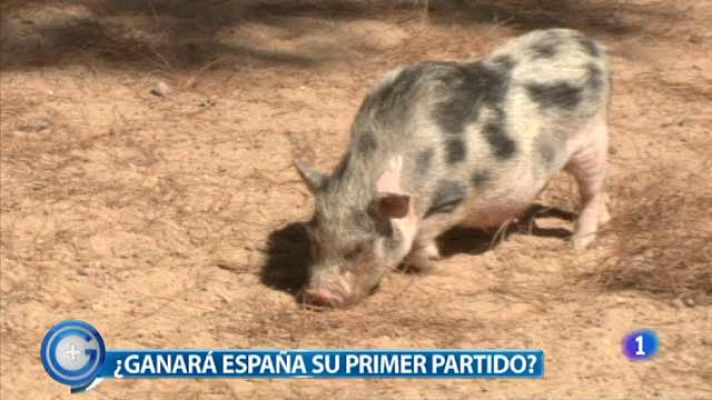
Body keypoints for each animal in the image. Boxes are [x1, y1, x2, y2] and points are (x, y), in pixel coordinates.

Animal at [295, 29, 611, 308]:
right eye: (313, 240)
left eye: (360, 247)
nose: (318, 297)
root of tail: (592, 45)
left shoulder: (455, 197)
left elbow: (420, 235)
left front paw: (436, 264)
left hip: (592, 138)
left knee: (591, 191)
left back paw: (577, 245)